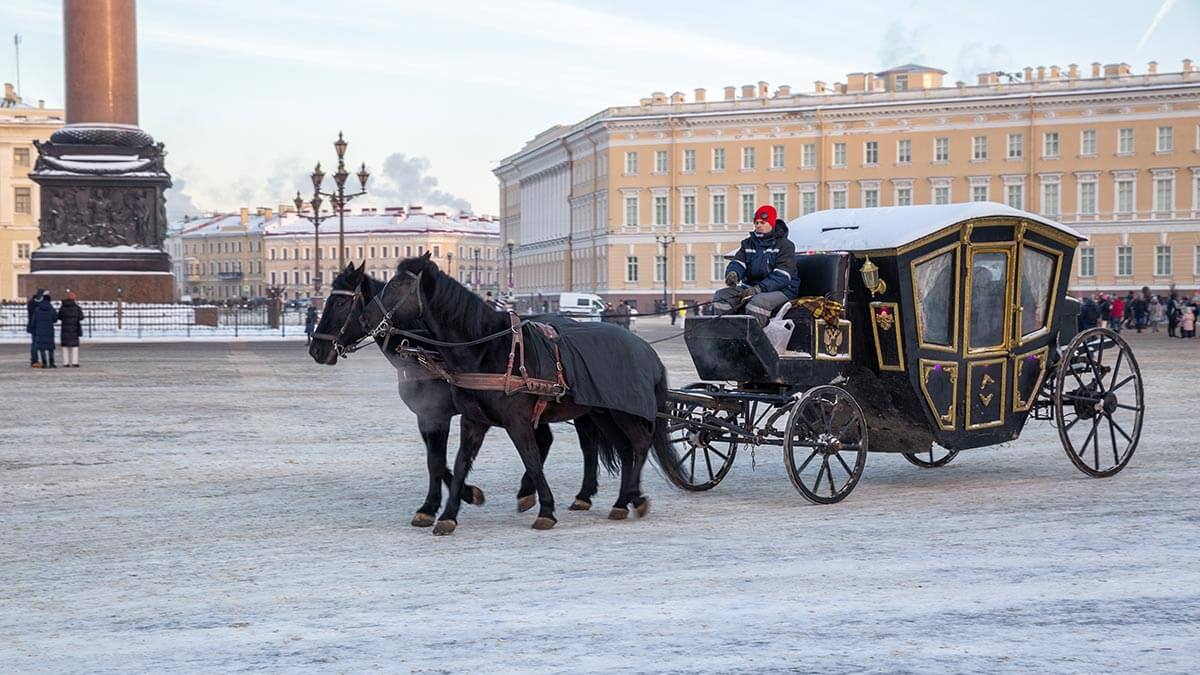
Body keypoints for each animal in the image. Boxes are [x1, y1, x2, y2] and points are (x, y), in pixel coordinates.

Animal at [309, 260, 614, 523]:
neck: (422, 349)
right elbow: (436, 460)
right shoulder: (426, 416)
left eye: (339, 302)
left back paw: (575, 494)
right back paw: (537, 492)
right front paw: (444, 502)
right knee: (557, 441)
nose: (316, 349)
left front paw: (449, 500)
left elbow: (437, 461)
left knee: (583, 444)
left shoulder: (439, 415)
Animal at [360, 254, 691, 533]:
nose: (366, 316)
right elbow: (459, 463)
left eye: (398, 284)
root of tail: (646, 349)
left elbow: (531, 458)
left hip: (622, 412)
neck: (487, 350)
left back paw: (631, 497)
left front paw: (545, 509)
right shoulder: (472, 420)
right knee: (626, 449)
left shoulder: (516, 421)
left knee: (639, 444)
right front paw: (448, 515)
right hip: (603, 413)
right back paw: (624, 500)